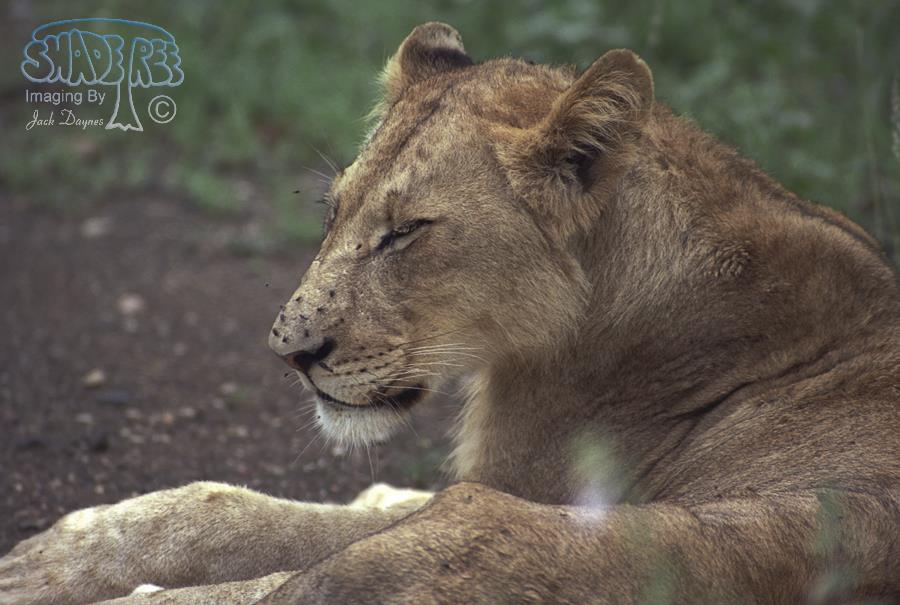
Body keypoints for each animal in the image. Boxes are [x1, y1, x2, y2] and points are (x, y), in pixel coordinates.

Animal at [1, 22, 898, 605]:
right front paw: (53, 555)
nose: (290, 354)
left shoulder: (512, 483)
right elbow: (247, 510)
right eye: (335, 211)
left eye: (407, 231)